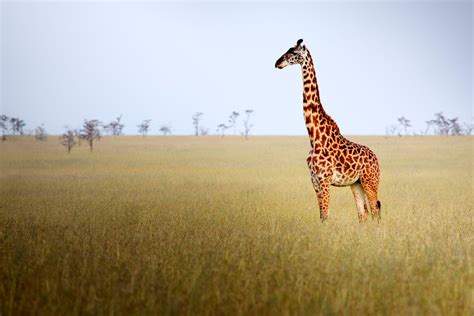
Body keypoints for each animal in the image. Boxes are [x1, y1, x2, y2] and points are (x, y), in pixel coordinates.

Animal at [274, 39, 382, 222]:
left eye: (293, 52)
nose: (277, 63)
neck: (314, 137)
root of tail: (377, 160)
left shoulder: (324, 179)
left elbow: (325, 215)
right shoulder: (314, 180)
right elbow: (322, 216)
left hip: (370, 181)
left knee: (375, 210)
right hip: (356, 183)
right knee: (363, 213)